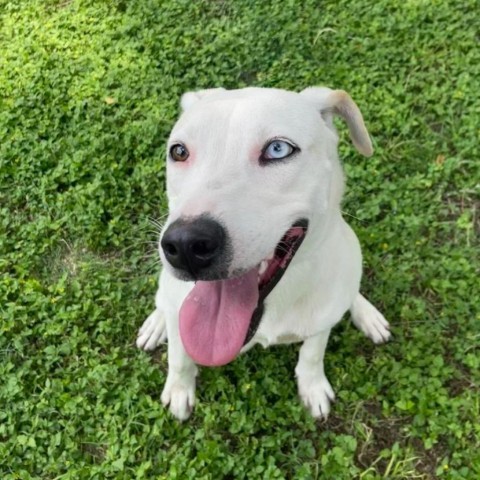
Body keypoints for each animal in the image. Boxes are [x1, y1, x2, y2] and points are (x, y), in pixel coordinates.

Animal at [137, 86, 392, 420]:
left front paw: (312, 387)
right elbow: (179, 357)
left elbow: (312, 354)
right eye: (179, 152)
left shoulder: (321, 321)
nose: (185, 245)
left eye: (278, 150)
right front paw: (180, 389)